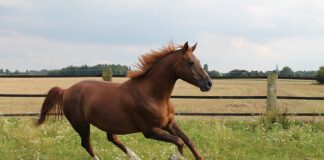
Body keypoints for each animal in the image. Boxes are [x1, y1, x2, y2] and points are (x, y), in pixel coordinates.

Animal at [36, 42, 213, 159]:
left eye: (199, 61)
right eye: (190, 62)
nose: (209, 83)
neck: (153, 95)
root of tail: (66, 90)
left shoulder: (169, 124)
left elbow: (188, 140)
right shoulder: (150, 131)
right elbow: (179, 141)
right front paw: (175, 157)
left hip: (108, 122)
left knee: (112, 138)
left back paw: (135, 157)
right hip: (81, 124)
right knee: (87, 144)